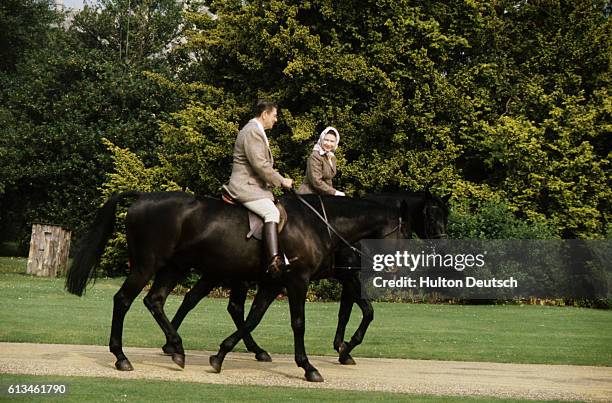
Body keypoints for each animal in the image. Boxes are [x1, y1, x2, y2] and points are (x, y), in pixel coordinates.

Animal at [65, 192, 412, 382]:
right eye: (403, 232)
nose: (396, 266)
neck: (319, 225)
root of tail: (141, 197)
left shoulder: (273, 283)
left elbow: (253, 317)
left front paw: (220, 355)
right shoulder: (297, 281)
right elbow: (298, 323)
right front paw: (309, 366)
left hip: (176, 268)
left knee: (157, 300)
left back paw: (176, 347)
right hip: (148, 266)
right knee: (123, 300)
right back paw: (122, 356)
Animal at [161, 193, 450, 366]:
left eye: (445, 215)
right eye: (431, 215)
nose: (443, 243)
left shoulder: (346, 277)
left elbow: (346, 311)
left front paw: (342, 348)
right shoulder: (346, 277)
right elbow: (365, 312)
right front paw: (345, 348)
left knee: (218, 305)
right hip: (227, 275)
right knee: (204, 301)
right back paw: (174, 343)